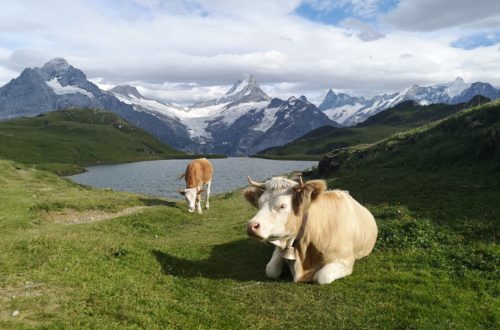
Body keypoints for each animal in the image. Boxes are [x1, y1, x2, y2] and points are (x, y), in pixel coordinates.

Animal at [244, 175, 376, 284]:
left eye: (282, 205)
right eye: (259, 203)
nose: (251, 226)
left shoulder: (345, 261)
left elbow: (321, 277)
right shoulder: (279, 247)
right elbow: (271, 270)